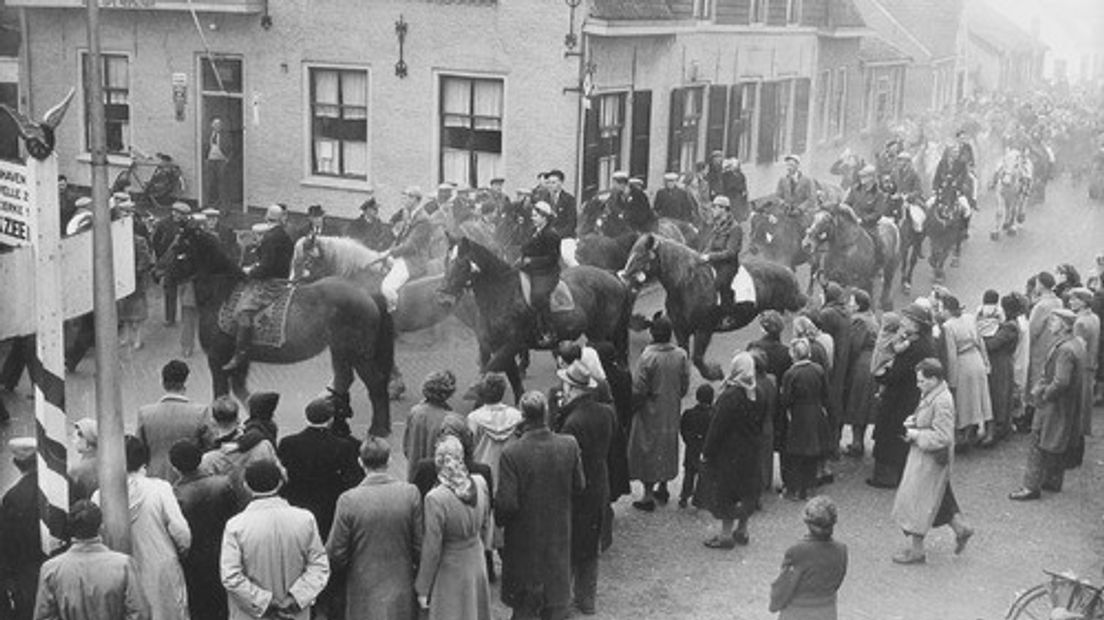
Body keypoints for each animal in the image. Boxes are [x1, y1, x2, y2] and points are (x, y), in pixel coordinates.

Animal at [157, 222, 395, 434]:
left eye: (179, 251)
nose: (156, 274)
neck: (222, 293)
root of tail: (367, 294)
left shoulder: (218, 359)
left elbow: (221, 394)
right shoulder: (239, 360)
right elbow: (241, 391)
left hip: (358, 353)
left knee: (375, 383)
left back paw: (379, 428)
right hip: (340, 350)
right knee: (344, 379)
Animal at [437, 236, 635, 401]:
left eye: (461, 263)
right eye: (446, 261)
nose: (443, 297)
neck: (501, 294)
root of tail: (610, 275)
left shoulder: (510, 345)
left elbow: (490, 368)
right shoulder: (497, 348)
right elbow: (514, 382)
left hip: (600, 333)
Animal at [622, 231, 803, 377]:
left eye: (640, 256)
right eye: (630, 253)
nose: (624, 277)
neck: (687, 284)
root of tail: (787, 271)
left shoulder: (704, 329)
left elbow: (697, 358)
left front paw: (714, 373)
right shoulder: (680, 329)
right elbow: (684, 353)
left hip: (794, 303)